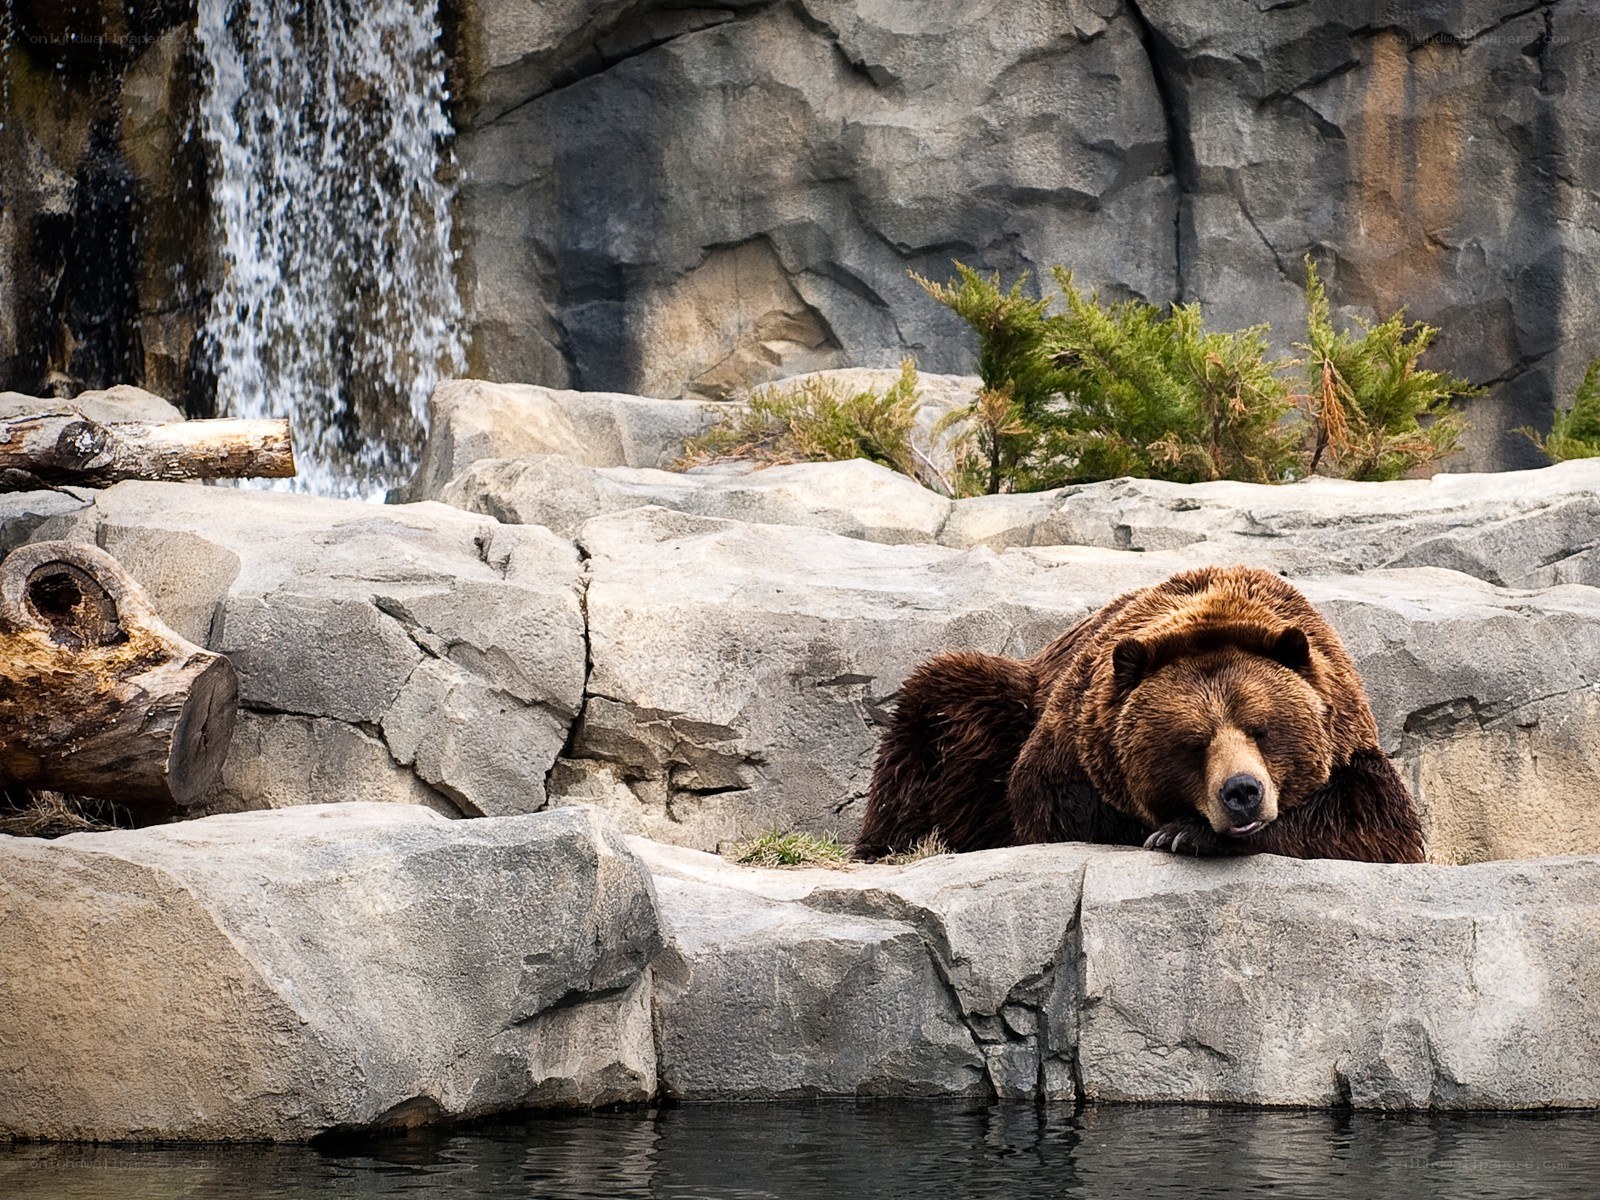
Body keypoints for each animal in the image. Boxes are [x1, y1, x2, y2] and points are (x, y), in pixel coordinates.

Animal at [856, 565, 1425, 864]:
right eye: (1193, 743)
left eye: (1262, 729)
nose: (1242, 792)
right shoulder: (1073, 740)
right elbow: (1055, 807)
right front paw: (1173, 830)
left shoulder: (1348, 739)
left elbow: (1374, 823)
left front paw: (1185, 833)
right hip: (1000, 707)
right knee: (939, 711)